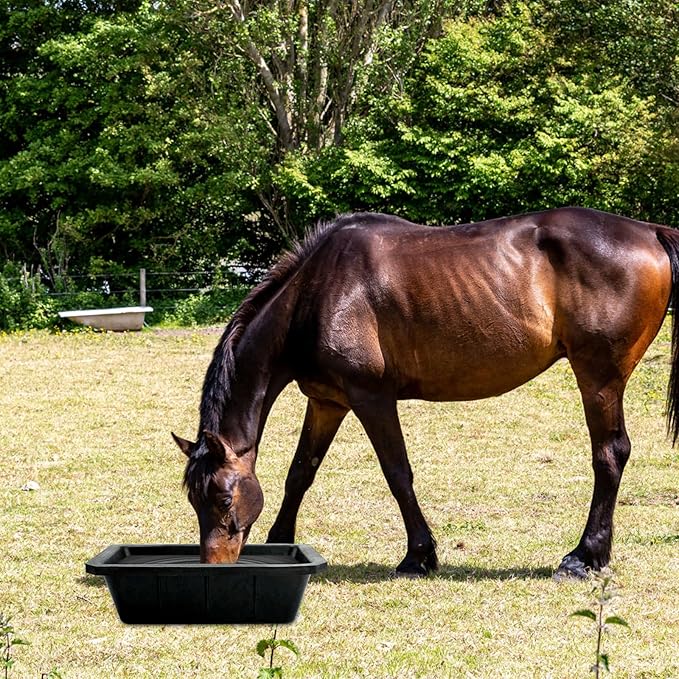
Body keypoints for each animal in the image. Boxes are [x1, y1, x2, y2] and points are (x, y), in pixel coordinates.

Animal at [172, 207, 679, 578]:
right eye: (193, 500)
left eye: (222, 499)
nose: (211, 565)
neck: (317, 293)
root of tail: (649, 231)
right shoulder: (327, 402)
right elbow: (301, 472)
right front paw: (282, 543)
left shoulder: (371, 398)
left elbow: (397, 473)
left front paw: (419, 555)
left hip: (599, 377)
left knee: (610, 454)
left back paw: (584, 557)